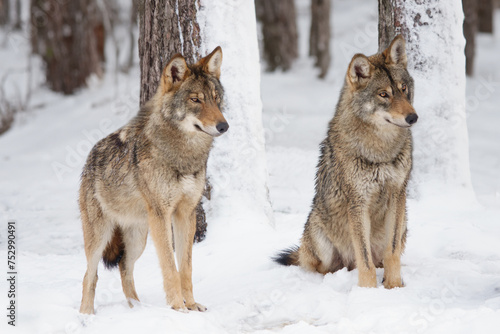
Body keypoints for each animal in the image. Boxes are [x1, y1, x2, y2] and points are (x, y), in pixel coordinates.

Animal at [79, 46, 228, 314]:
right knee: (90, 275)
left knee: (124, 267)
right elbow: (169, 266)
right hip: (100, 238)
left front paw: (191, 305)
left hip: (138, 238)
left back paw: (137, 309)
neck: (182, 156)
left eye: (215, 98)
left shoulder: (186, 213)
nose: (224, 126)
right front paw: (178, 308)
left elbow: (186, 268)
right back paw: (87, 315)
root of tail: (89, 158)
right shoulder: (162, 214)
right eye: (195, 100)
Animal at [276, 35, 416, 288]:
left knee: (380, 258)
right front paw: (368, 291)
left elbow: (391, 253)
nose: (413, 117)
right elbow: (365, 259)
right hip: (320, 237)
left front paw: (394, 286)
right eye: (383, 94)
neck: (380, 150)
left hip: (404, 224)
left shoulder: (397, 194)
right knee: (324, 267)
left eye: (403, 89)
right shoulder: (357, 202)